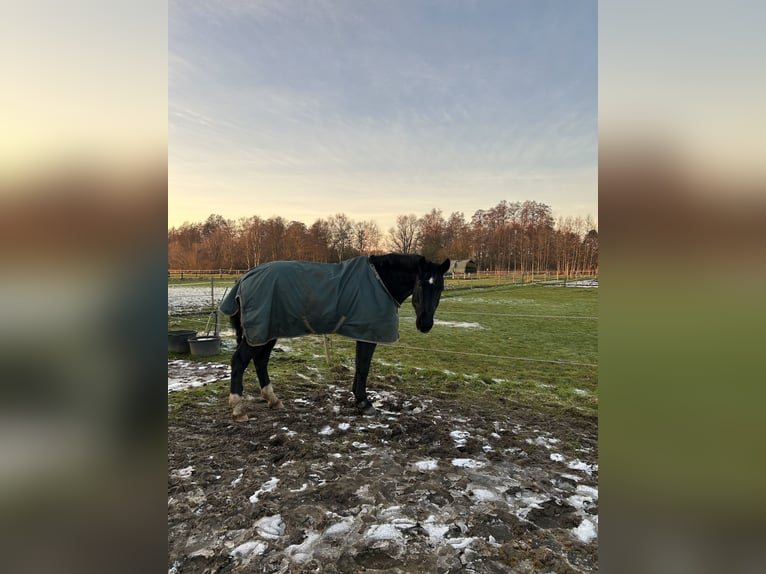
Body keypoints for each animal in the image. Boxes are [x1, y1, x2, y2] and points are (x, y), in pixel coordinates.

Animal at [220, 254, 450, 420]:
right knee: (239, 361)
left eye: (440, 287)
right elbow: (364, 367)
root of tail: (244, 278)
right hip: (259, 333)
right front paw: (364, 403)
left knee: (260, 360)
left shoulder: (363, 333)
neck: (380, 282)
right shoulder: (367, 335)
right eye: (421, 284)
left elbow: (359, 366)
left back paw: (273, 400)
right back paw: (238, 408)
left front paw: (358, 398)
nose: (425, 324)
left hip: (268, 332)